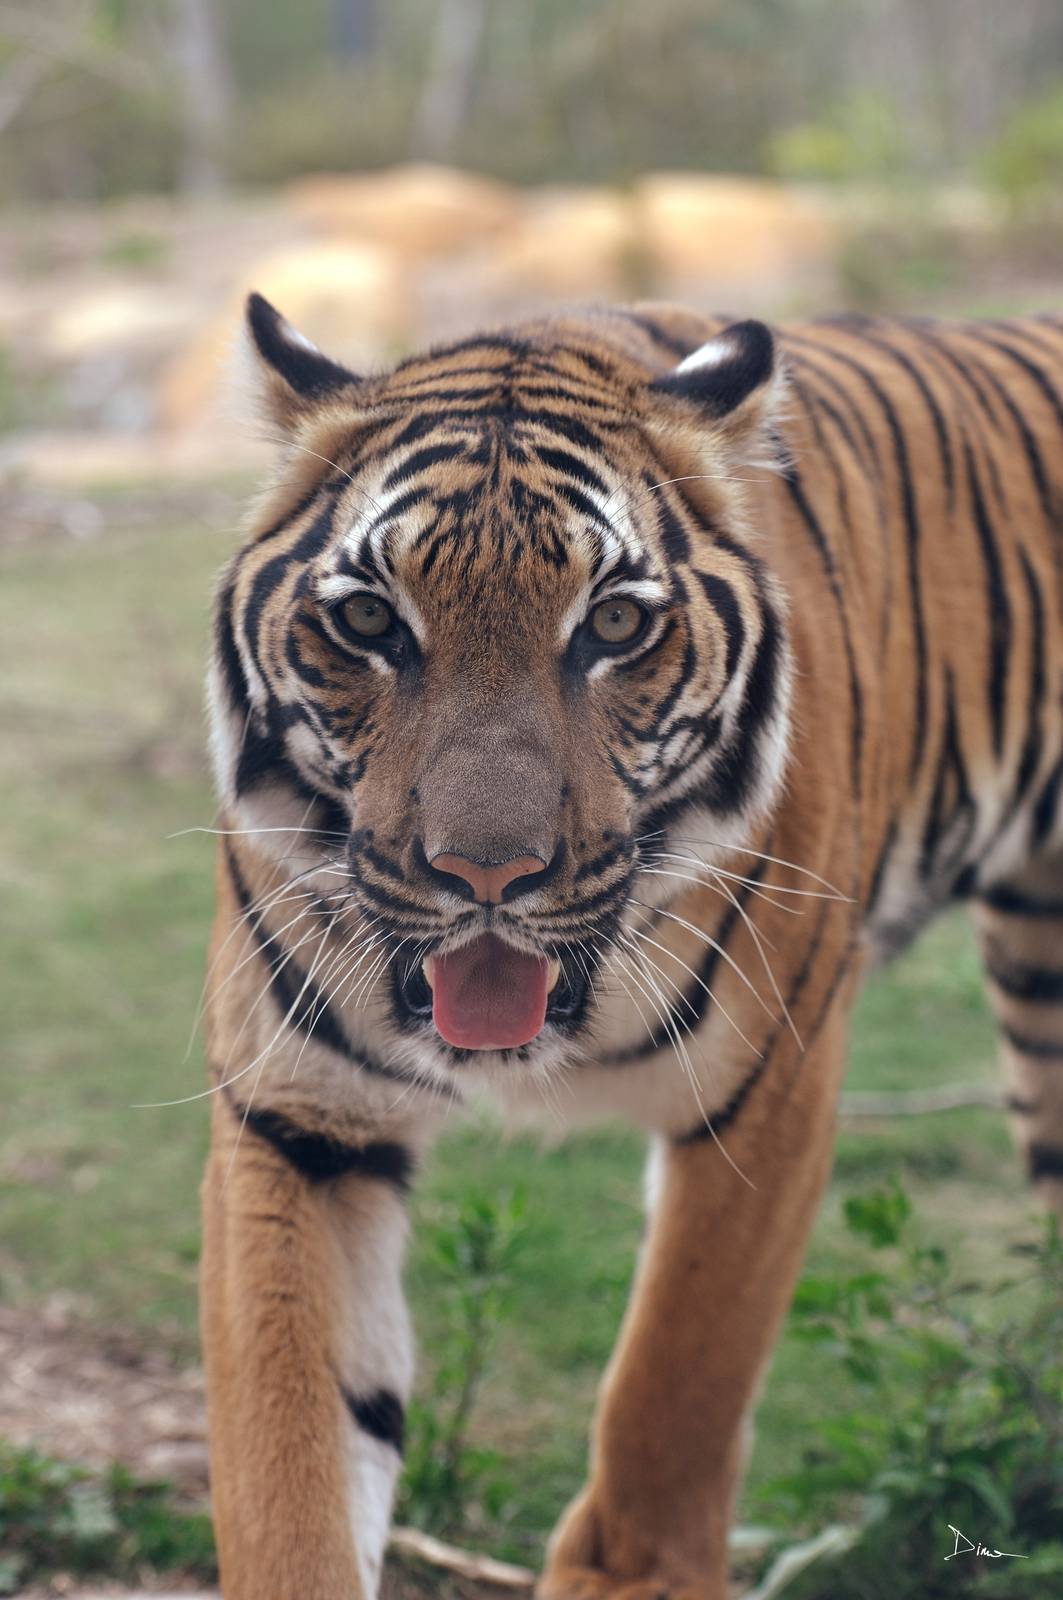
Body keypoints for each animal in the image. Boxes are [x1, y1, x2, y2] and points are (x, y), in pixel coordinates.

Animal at [201, 292, 1063, 1600]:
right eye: (367, 620)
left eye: (610, 623)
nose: (485, 874)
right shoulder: (298, 1114)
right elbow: (286, 1461)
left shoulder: (769, 1089)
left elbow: (674, 1389)